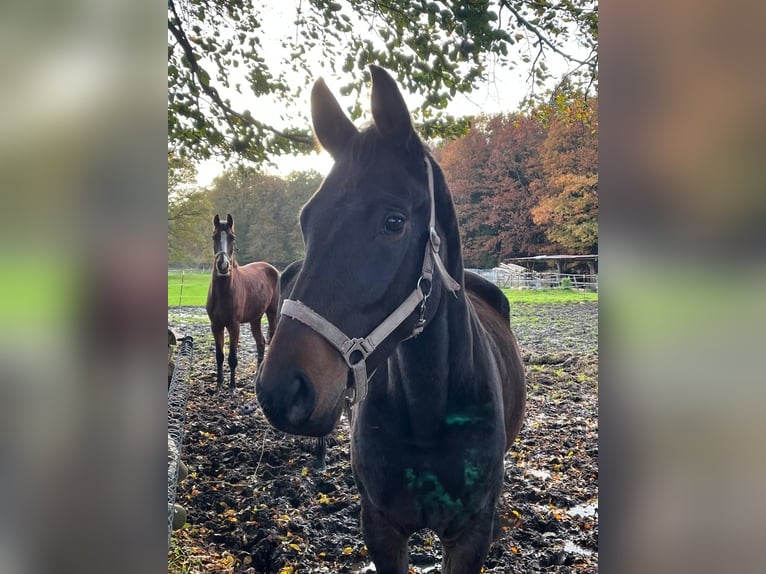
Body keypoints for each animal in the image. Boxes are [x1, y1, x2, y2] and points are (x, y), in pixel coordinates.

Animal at [208, 215, 280, 396]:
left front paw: (233, 387)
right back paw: (255, 377)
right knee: (260, 343)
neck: (223, 292)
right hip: (255, 319)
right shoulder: (216, 325)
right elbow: (220, 356)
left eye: (232, 238)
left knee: (269, 340)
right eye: (214, 237)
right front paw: (219, 385)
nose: (223, 266)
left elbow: (232, 358)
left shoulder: (234, 326)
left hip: (271, 314)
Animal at [255, 68, 524, 574]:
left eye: (394, 221)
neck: (429, 406)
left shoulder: (469, 536)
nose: (282, 390)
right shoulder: (380, 527)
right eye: (306, 221)